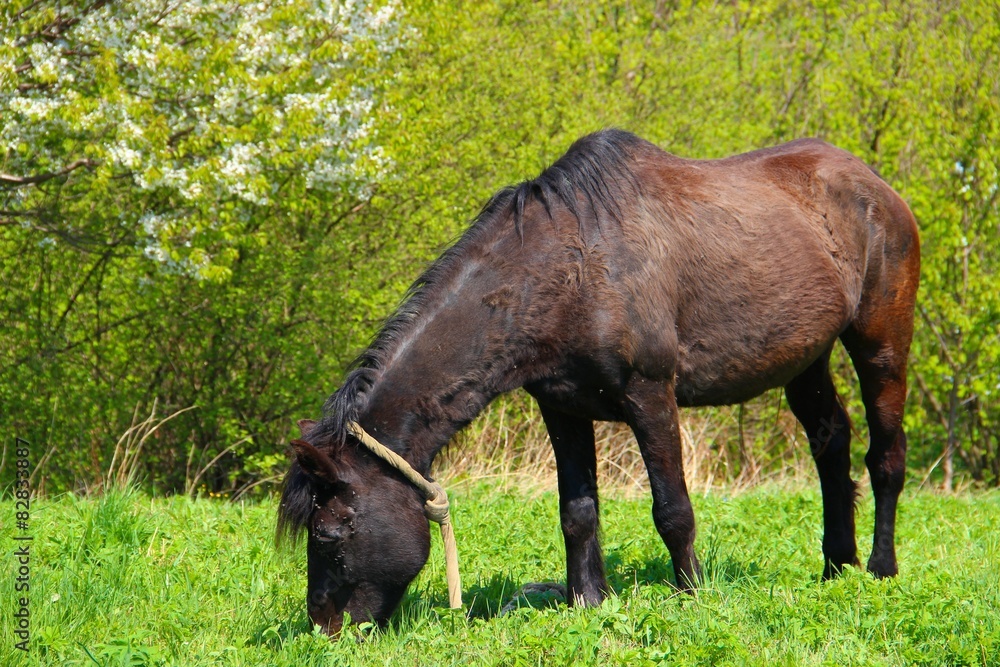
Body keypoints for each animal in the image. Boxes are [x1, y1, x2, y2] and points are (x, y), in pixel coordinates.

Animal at [277, 129, 920, 635]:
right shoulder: (563, 407)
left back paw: (882, 569)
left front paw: (690, 597)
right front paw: (588, 601)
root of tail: (875, 184)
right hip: (805, 359)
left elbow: (673, 509)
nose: (324, 629)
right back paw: (836, 568)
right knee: (831, 443)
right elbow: (577, 510)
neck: (567, 270)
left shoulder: (650, 393)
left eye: (329, 534)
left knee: (885, 456)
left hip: (882, 346)